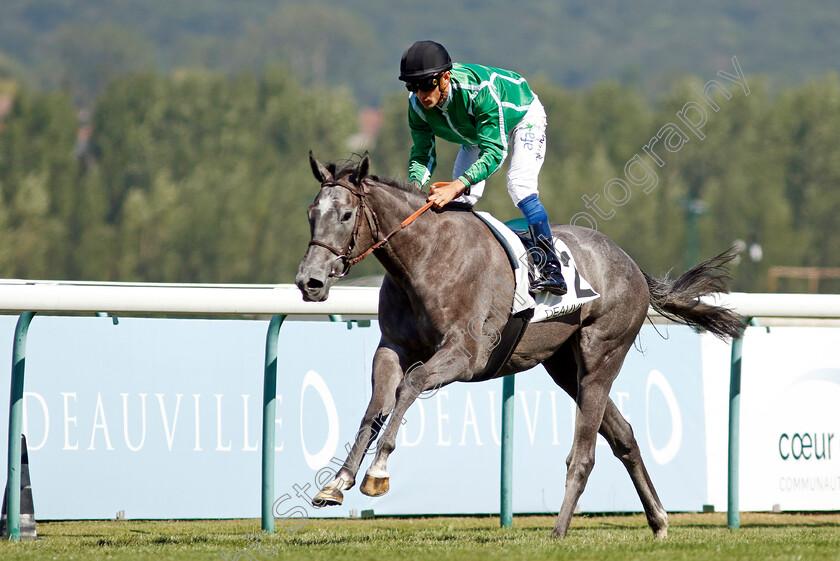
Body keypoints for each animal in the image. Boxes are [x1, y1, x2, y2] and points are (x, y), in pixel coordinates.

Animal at [296, 153, 740, 540]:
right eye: (311, 213)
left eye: (346, 215)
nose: (309, 282)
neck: (426, 257)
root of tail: (631, 265)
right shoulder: (392, 348)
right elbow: (376, 406)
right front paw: (337, 482)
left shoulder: (465, 356)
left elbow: (412, 384)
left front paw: (378, 472)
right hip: (565, 368)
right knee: (623, 435)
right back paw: (659, 520)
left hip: (602, 356)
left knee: (585, 453)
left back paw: (559, 531)